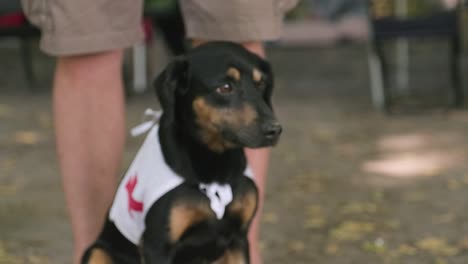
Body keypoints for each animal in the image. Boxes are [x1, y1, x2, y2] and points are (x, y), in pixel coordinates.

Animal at [81, 41, 282, 264]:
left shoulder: (238, 240)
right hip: (96, 251)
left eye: (261, 84)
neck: (215, 164)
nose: (274, 130)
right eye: (225, 88)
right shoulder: (157, 246)